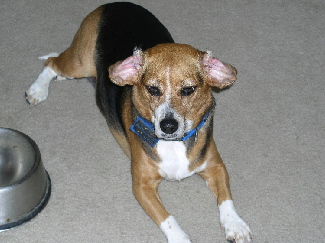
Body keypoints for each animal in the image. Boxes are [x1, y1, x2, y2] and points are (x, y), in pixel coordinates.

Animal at [26, 2, 252, 243]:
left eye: (188, 90)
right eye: (152, 89)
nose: (168, 126)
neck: (174, 144)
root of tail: (114, 4)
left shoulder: (216, 166)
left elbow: (226, 198)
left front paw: (235, 224)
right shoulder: (142, 186)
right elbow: (168, 219)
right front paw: (180, 238)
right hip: (79, 63)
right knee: (51, 63)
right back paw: (37, 90)